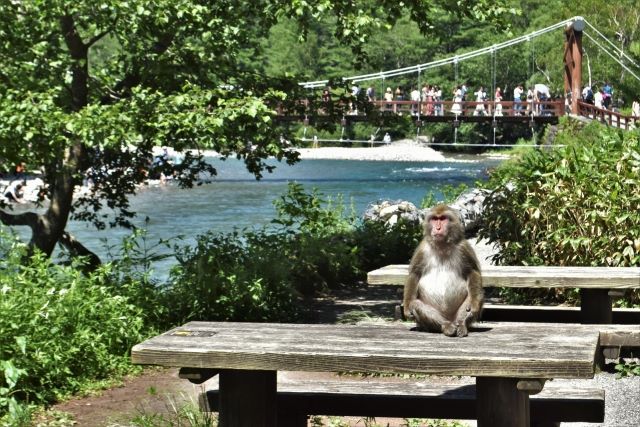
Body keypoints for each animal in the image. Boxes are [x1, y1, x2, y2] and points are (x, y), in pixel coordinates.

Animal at [402, 205, 482, 338]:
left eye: (443, 219)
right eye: (435, 219)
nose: (438, 228)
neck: (442, 245)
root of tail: (451, 320)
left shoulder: (463, 247)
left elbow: (472, 272)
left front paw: (474, 305)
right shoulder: (422, 248)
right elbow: (415, 274)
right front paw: (407, 307)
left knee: (470, 301)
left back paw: (461, 325)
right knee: (416, 305)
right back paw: (446, 326)